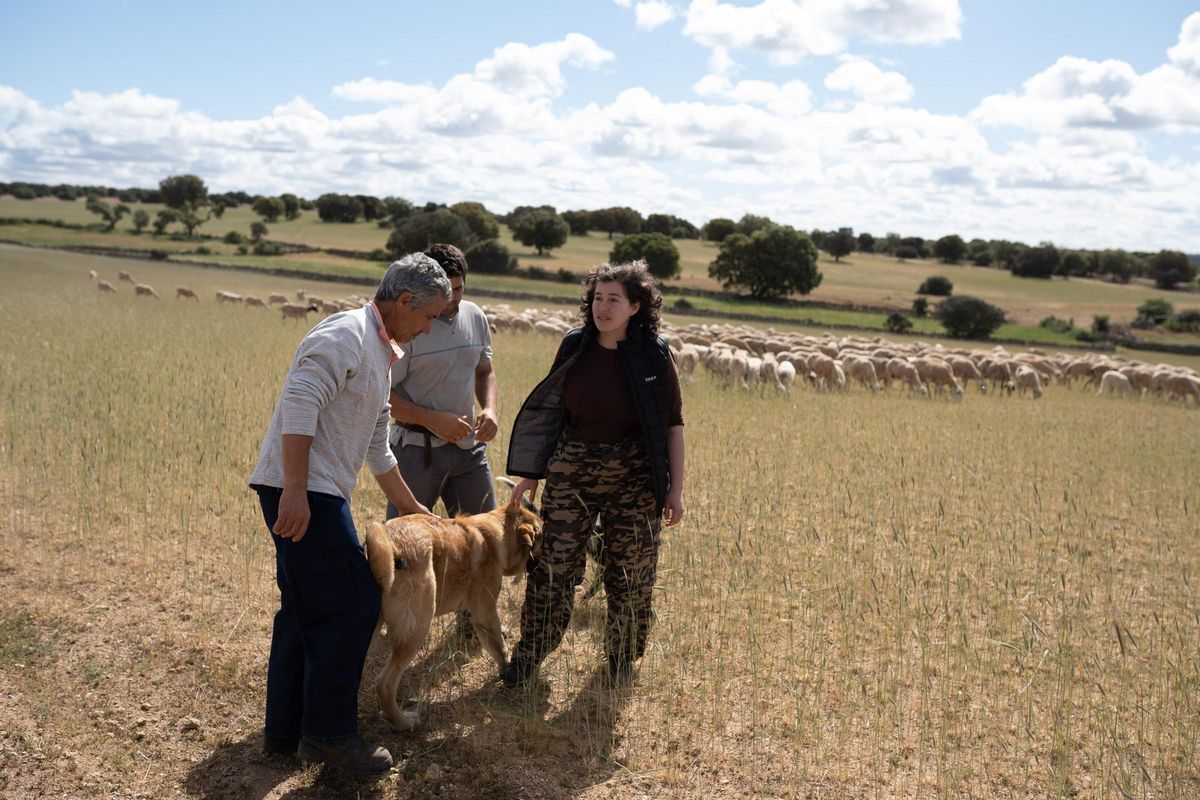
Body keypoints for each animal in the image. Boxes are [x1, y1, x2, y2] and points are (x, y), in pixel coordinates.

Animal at [360, 496, 540, 729]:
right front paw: (506, 672)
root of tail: (390, 544)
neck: (499, 527)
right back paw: (404, 723)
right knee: (384, 685)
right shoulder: (486, 614)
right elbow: (499, 649)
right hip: (417, 629)